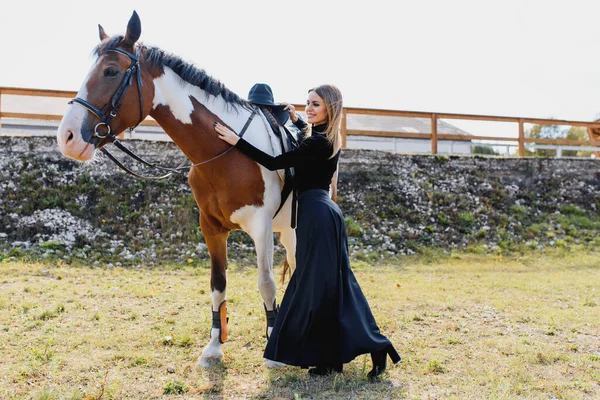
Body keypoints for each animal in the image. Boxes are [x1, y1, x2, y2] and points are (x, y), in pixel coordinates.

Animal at [56, 10, 298, 368]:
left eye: (111, 71)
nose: (67, 137)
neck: (227, 150)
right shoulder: (211, 228)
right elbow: (217, 284)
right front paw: (214, 346)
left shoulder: (261, 226)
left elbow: (265, 283)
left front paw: (273, 348)